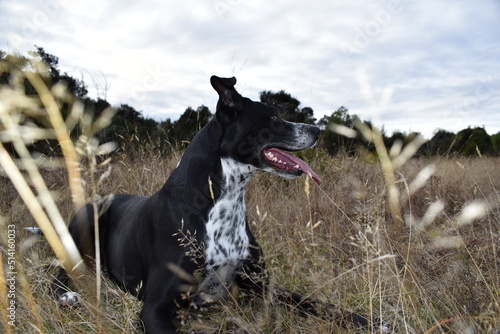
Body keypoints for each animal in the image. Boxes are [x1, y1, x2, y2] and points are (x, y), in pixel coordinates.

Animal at [54, 77, 390, 332]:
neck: (223, 204)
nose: (317, 130)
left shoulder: (263, 285)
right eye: (273, 118)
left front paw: (371, 321)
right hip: (87, 220)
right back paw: (68, 296)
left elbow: (314, 302)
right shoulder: (156, 307)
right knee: (60, 270)